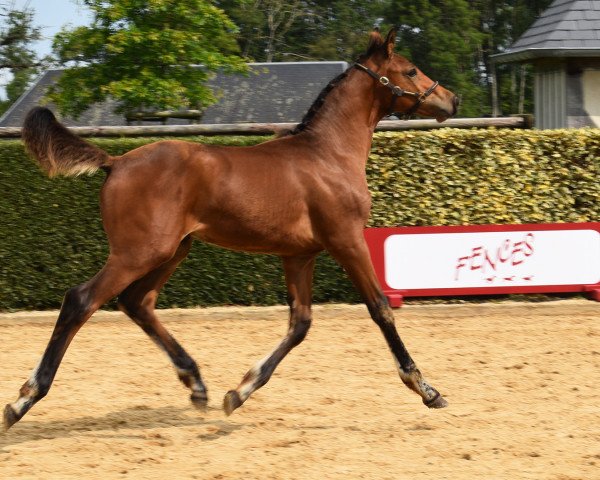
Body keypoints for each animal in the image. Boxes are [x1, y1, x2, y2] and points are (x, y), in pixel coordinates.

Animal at [4, 28, 458, 430]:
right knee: (81, 300)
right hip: (140, 251)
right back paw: (23, 399)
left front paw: (238, 392)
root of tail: (115, 162)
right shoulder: (346, 240)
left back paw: (196, 384)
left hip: (173, 249)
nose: (451, 99)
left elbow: (300, 323)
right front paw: (427, 389)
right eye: (411, 69)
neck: (327, 154)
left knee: (137, 302)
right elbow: (380, 308)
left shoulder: (299, 254)